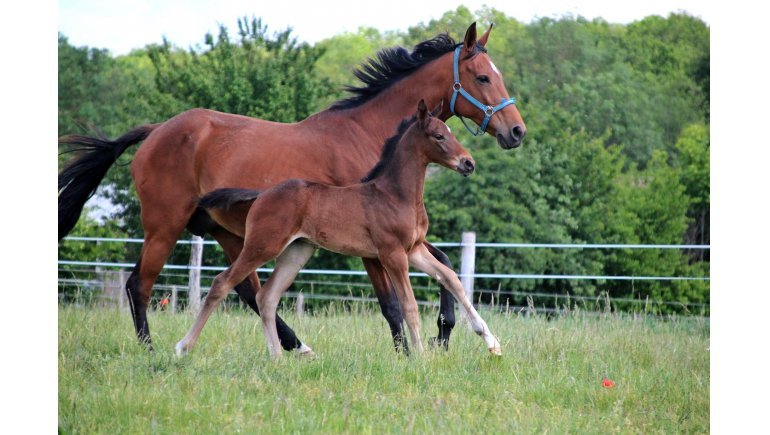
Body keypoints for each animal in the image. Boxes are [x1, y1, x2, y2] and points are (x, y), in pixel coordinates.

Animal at [176, 100, 501, 358]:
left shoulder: (415, 249)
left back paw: (277, 357)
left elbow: (450, 278)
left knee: (266, 297)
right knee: (222, 283)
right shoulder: (392, 253)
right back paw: (183, 346)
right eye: (438, 135)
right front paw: (421, 357)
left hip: (297, 251)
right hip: (262, 245)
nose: (468, 163)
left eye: (451, 132)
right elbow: (409, 305)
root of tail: (262, 194)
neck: (395, 194)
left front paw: (492, 343)